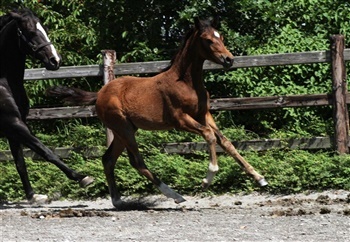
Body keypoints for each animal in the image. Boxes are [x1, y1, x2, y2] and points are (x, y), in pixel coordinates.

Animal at [0, 8, 93, 203]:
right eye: (30, 31)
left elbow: (20, 161)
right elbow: (45, 151)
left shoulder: (13, 129)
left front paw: (32, 196)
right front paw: (82, 177)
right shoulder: (13, 124)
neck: (3, 83)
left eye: (46, 29)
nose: (55, 60)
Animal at [47, 18, 268, 207]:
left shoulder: (204, 114)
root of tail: (100, 94)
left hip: (123, 131)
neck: (186, 82)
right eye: (207, 39)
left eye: (220, 36)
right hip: (124, 129)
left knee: (108, 159)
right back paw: (175, 195)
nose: (229, 60)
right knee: (136, 161)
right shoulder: (180, 120)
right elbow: (209, 135)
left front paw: (259, 178)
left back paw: (118, 201)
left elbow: (225, 141)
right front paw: (208, 179)